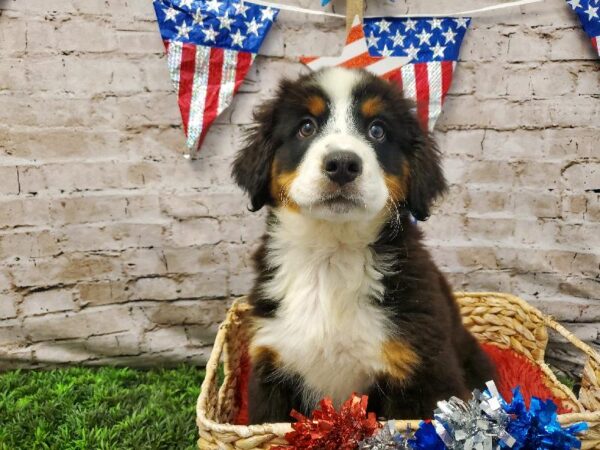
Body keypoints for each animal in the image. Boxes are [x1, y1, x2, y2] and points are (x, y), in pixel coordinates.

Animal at [232, 65, 494, 424]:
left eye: (378, 130)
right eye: (306, 127)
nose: (343, 164)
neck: (332, 255)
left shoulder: (422, 371)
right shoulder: (272, 361)